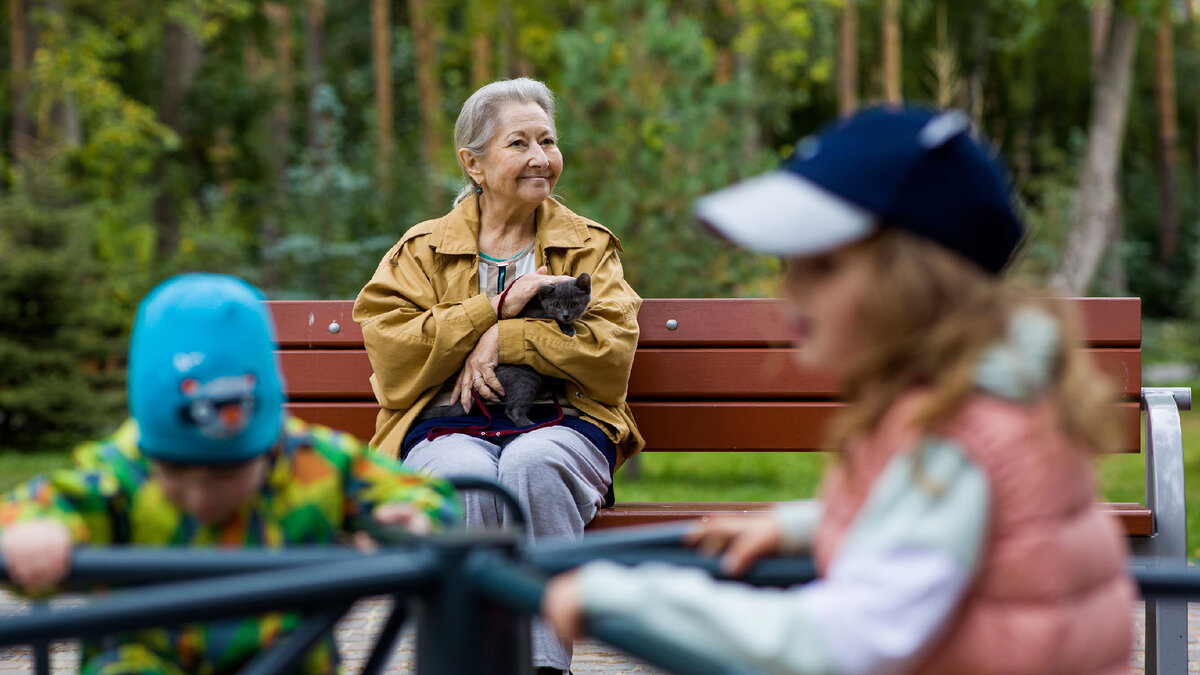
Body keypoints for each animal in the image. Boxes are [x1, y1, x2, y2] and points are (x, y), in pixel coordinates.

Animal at [420, 269, 592, 422]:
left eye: (574, 304)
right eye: (556, 305)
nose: (566, 315)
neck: (540, 302)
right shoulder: (532, 312)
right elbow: (550, 318)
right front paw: (567, 328)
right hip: (526, 377)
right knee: (513, 410)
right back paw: (531, 425)